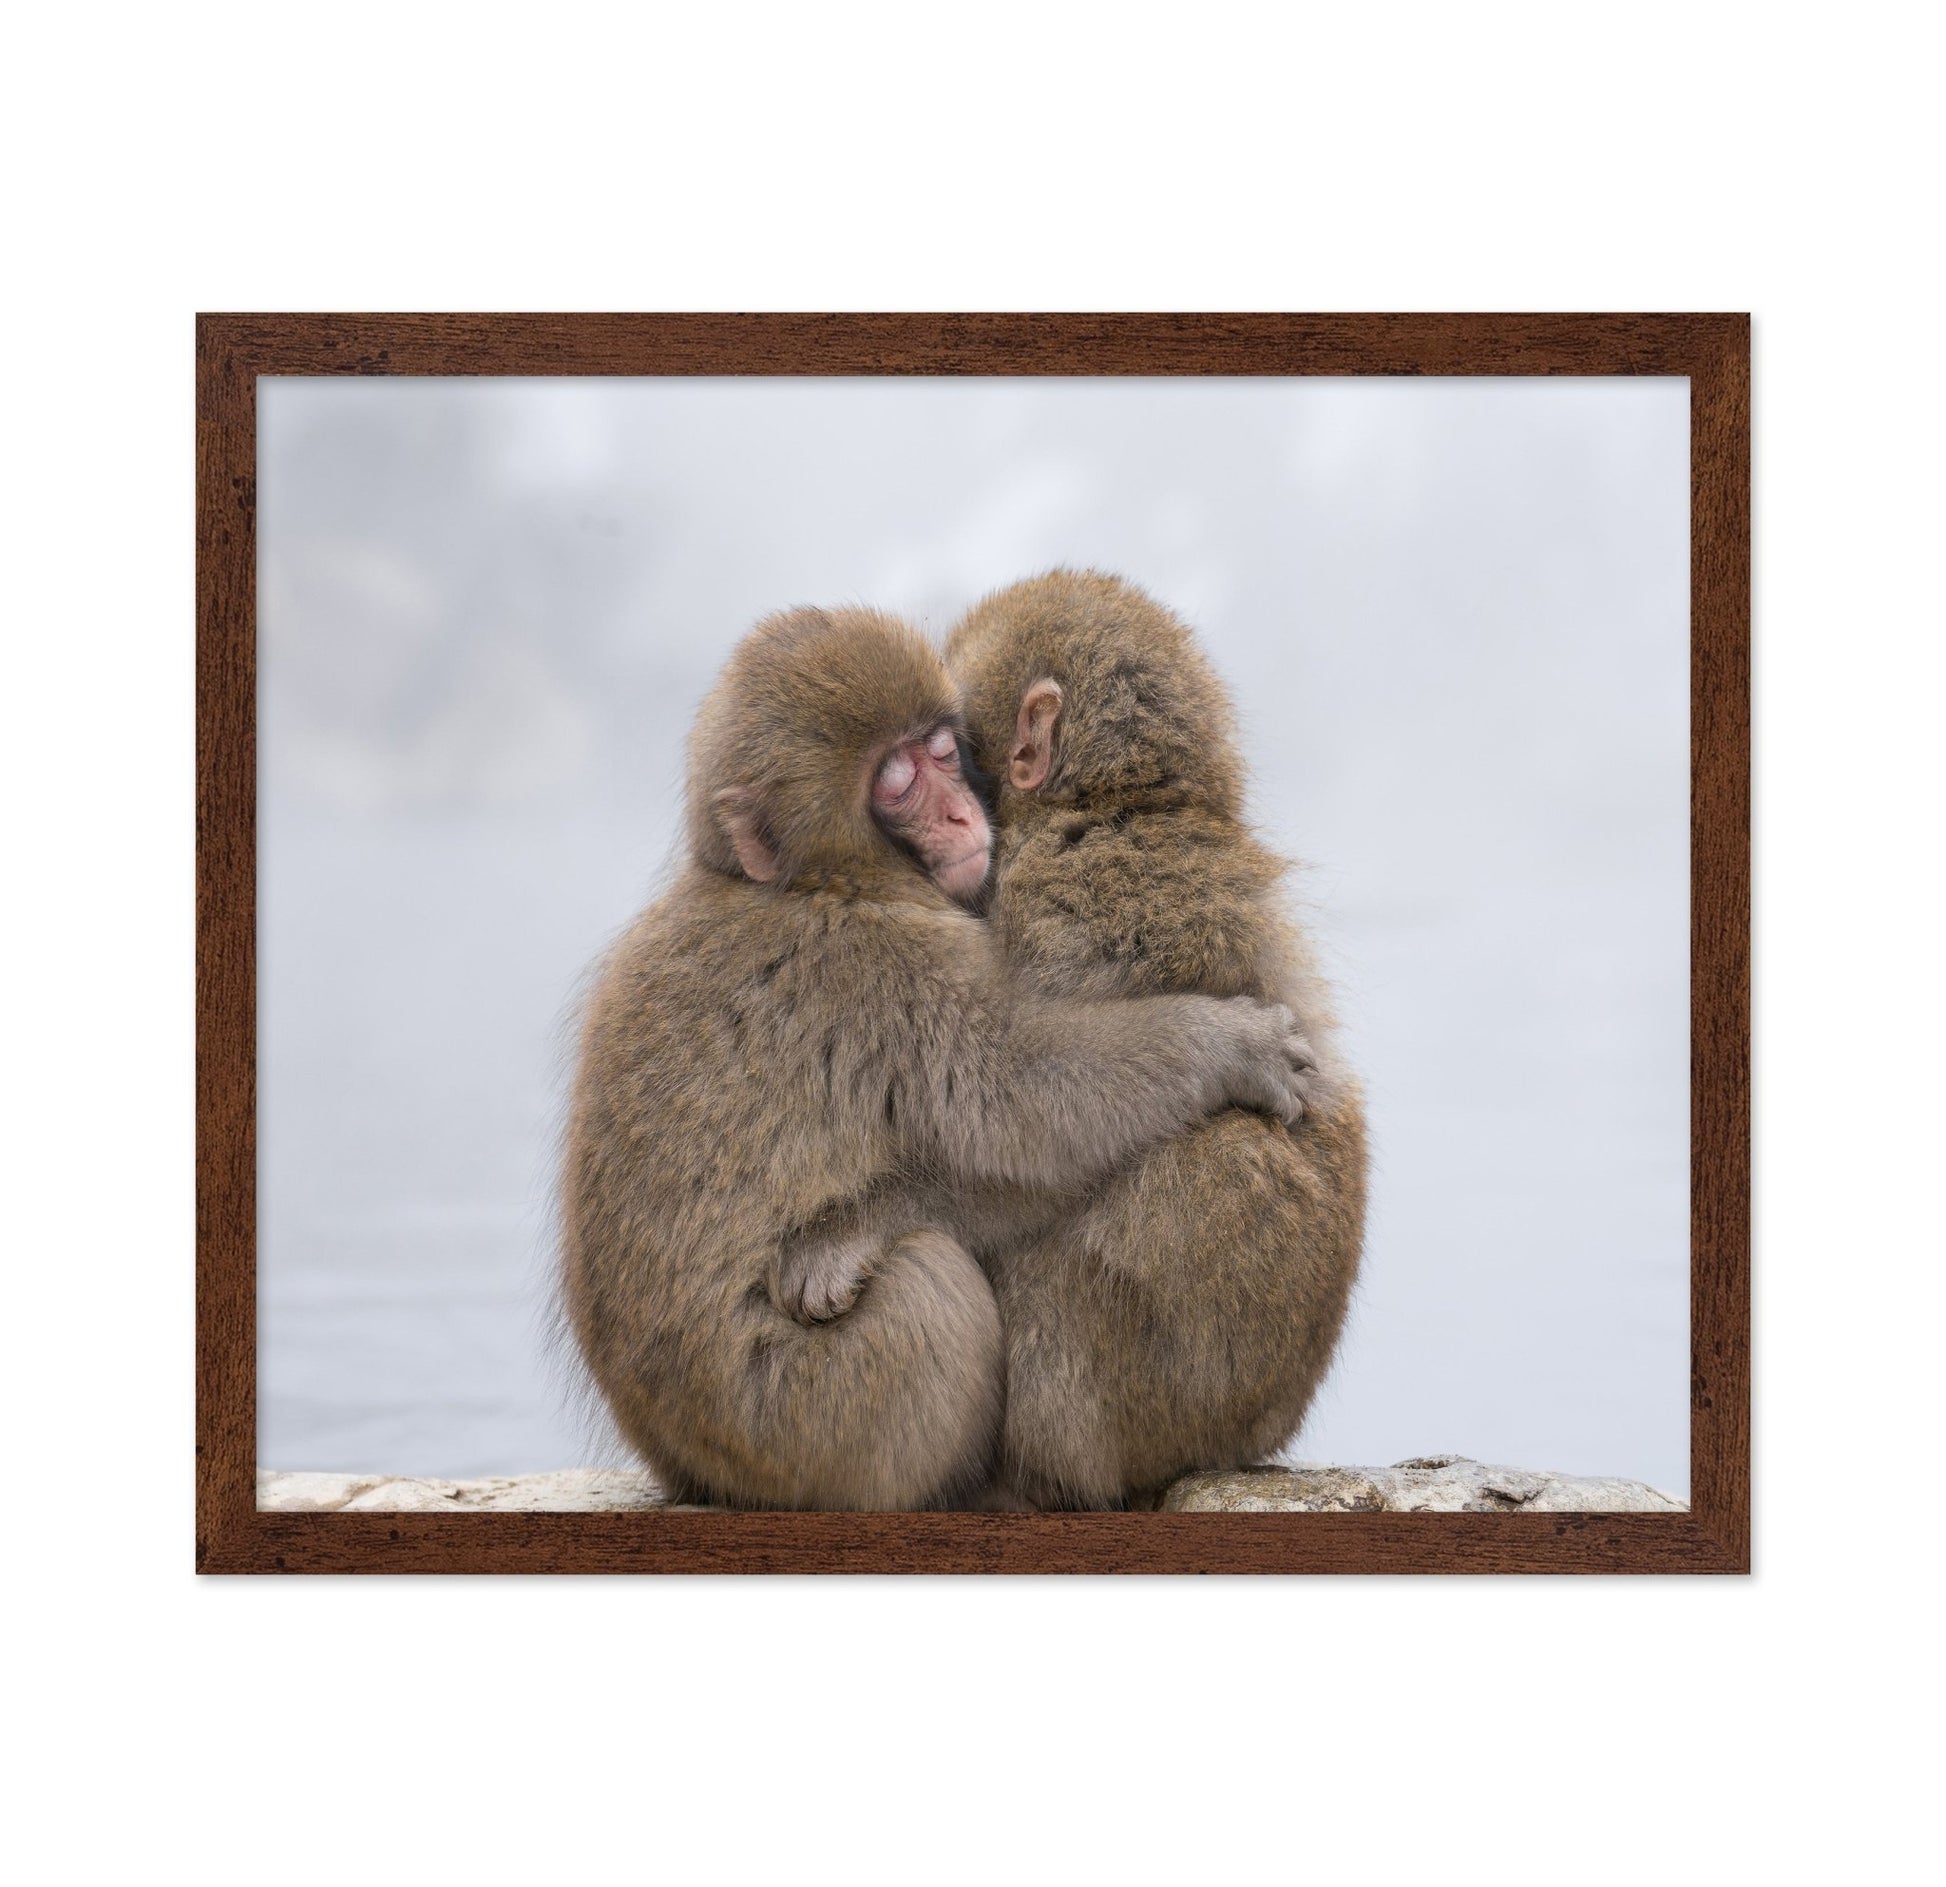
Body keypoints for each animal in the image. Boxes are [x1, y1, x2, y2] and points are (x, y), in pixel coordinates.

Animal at [559, 604, 1321, 1511]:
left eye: (942, 750)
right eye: (897, 782)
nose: (961, 814)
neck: (806, 880)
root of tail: (697, 1472)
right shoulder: (879, 962)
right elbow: (1024, 1106)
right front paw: (1231, 1046)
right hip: (817, 1424)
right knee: (933, 1277)